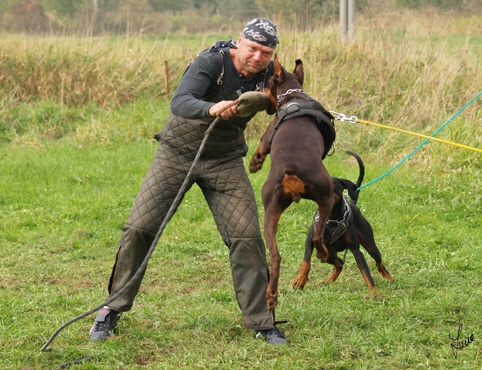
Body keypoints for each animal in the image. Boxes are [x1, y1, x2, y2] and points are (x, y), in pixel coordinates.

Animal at [249, 53, 336, 310]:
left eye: (268, 83)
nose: (260, 90)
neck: (294, 97)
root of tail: (291, 169)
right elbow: (261, 147)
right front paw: (255, 162)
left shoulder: (267, 135)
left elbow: (261, 146)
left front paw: (254, 163)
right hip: (326, 196)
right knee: (317, 236)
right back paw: (323, 255)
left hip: (272, 209)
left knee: (276, 256)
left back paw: (271, 295)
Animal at [292, 150, 394, 294]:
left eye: (334, 186)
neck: (331, 219)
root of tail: (353, 203)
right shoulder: (310, 238)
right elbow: (306, 260)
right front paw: (300, 279)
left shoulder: (356, 250)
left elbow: (366, 272)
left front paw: (374, 293)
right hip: (332, 253)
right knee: (338, 262)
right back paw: (329, 278)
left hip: (371, 246)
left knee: (378, 262)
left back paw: (389, 278)